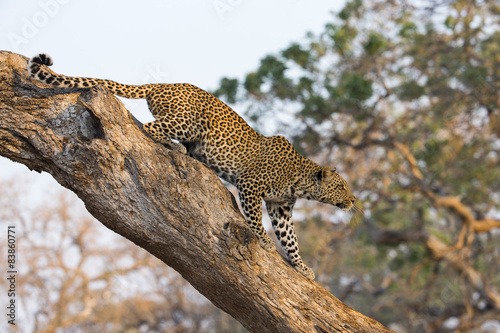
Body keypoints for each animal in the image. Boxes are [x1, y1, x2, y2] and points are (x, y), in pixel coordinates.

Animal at [28, 53, 356, 278]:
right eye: (342, 186)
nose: (354, 201)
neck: (300, 182)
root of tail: (162, 84)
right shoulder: (250, 186)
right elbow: (255, 221)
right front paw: (264, 242)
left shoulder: (281, 208)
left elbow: (291, 239)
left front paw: (302, 267)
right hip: (189, 121)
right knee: (150, 127)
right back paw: (177, 148)